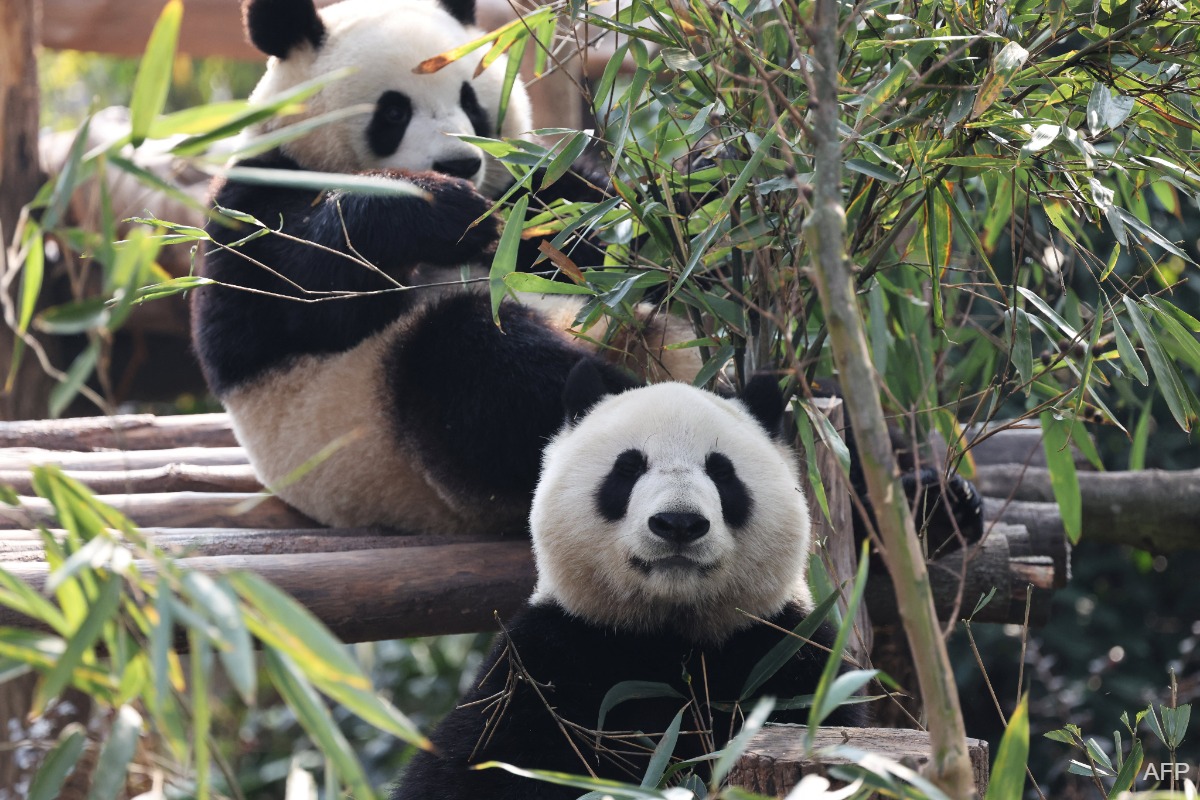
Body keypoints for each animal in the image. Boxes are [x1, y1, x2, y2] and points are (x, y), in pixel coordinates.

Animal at [191, 0, 699, 534]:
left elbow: (602, 230)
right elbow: (304, 295)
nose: (460, 163)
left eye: (470, 100)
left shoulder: (528, 195)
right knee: (478, 360)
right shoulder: (254, 199)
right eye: (394, 111)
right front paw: (439, 207)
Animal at [390, 362, 869, 800]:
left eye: (722, 472)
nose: (679, 523)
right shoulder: (548, 661)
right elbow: (476, 763)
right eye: (628, 467)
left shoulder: (780, 651)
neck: (667, 633)